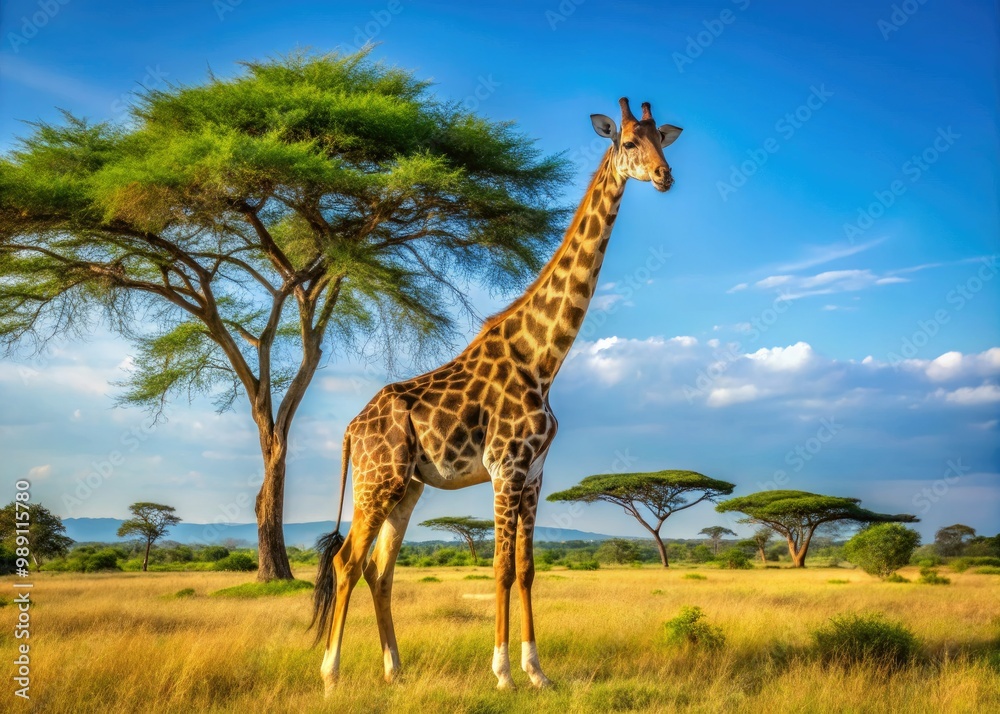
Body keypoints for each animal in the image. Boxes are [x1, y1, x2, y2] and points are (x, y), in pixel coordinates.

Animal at [310, 97, 682, 693]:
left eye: (662, 142)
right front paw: (504, 672)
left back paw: (397, 672)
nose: (665, 176)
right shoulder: (506, 466)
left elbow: (528, 569)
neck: (543, 360)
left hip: (407, 488)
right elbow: (501, 568)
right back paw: (331, 675)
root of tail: (350, 429)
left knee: (378, 568)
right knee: (347, 562)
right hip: (376, 481)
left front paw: (538, 672)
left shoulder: (534, 473)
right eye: (628, 142)